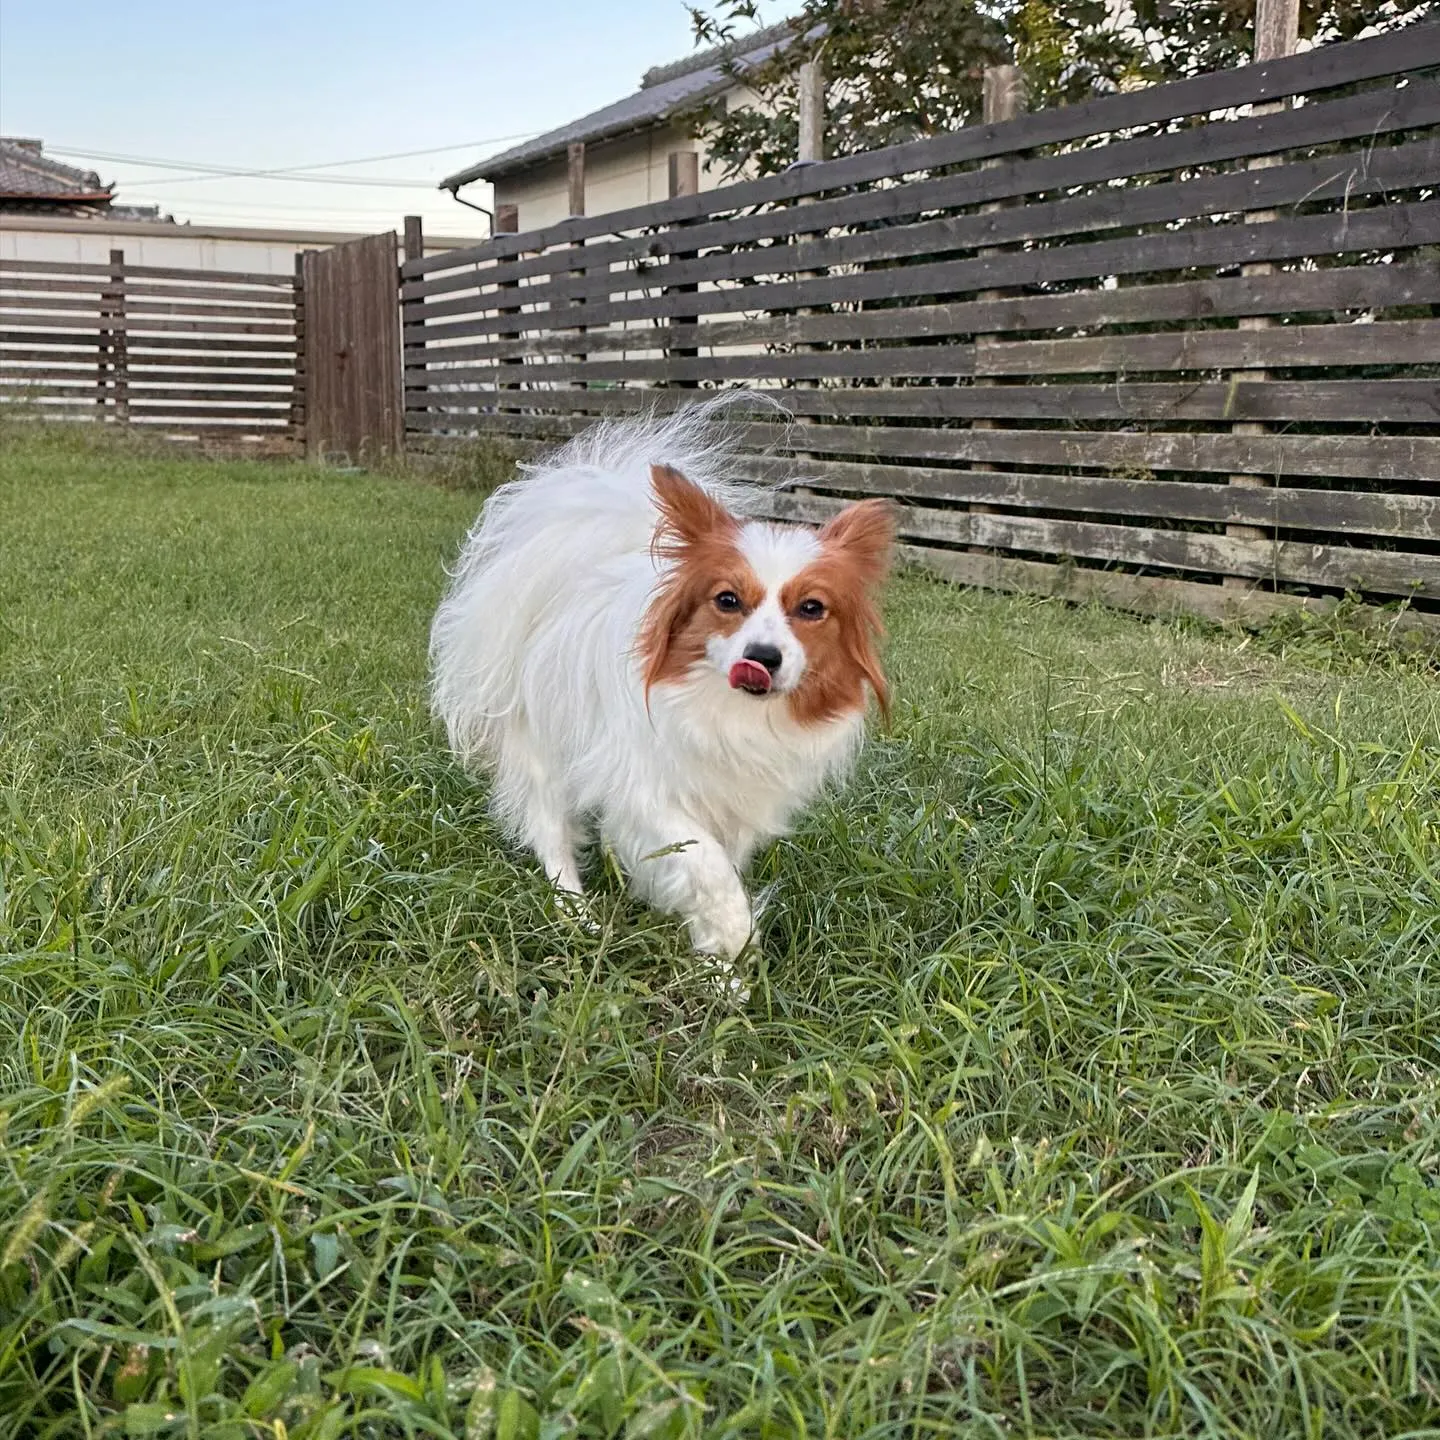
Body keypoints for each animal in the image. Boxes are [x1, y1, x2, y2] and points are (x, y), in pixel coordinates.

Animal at [429, 400, 887, 967]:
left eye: (811, 609)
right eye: (727, 600)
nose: (762, 657)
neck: (729, 711)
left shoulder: (736, 804)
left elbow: (713, 870)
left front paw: (717, 961)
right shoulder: (643, 789)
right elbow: (708, 867)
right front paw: (736, 935)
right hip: (543, 746)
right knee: (551, 830)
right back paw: (575, 913)